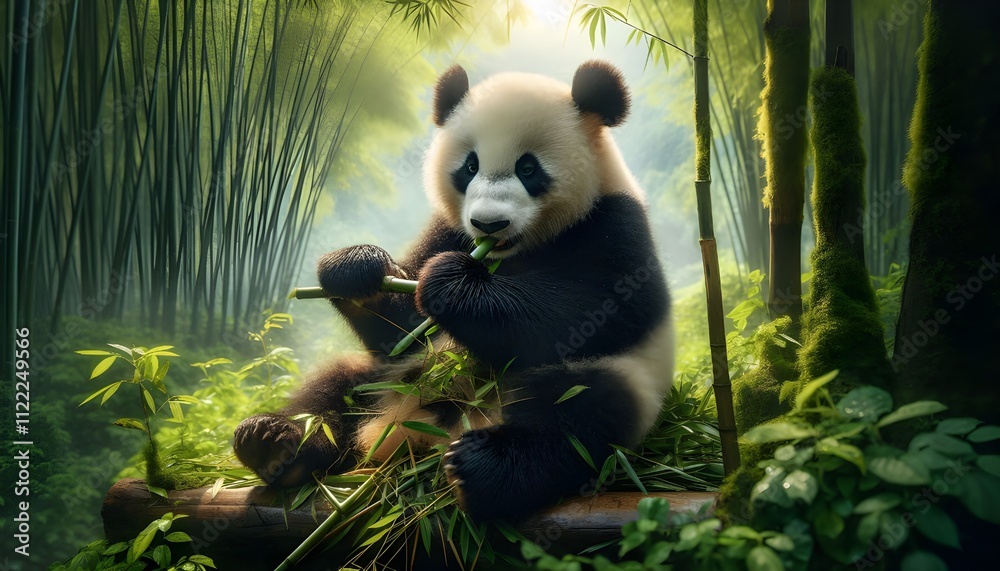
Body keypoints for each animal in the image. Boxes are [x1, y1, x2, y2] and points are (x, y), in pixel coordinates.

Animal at [234, 60, 674, 522]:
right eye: (470, 166)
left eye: (528, 169)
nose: (488, 224)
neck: (512, 252)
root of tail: (420, 436)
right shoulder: (448, 229)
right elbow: (400, 333)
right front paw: (355, 269)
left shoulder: (614, 225)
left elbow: (584, 313)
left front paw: (453, 284)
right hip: (385, 379)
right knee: (332, 391)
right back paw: (275, 443)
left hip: (616, 384)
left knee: (581, 416)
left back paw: (481, 468)